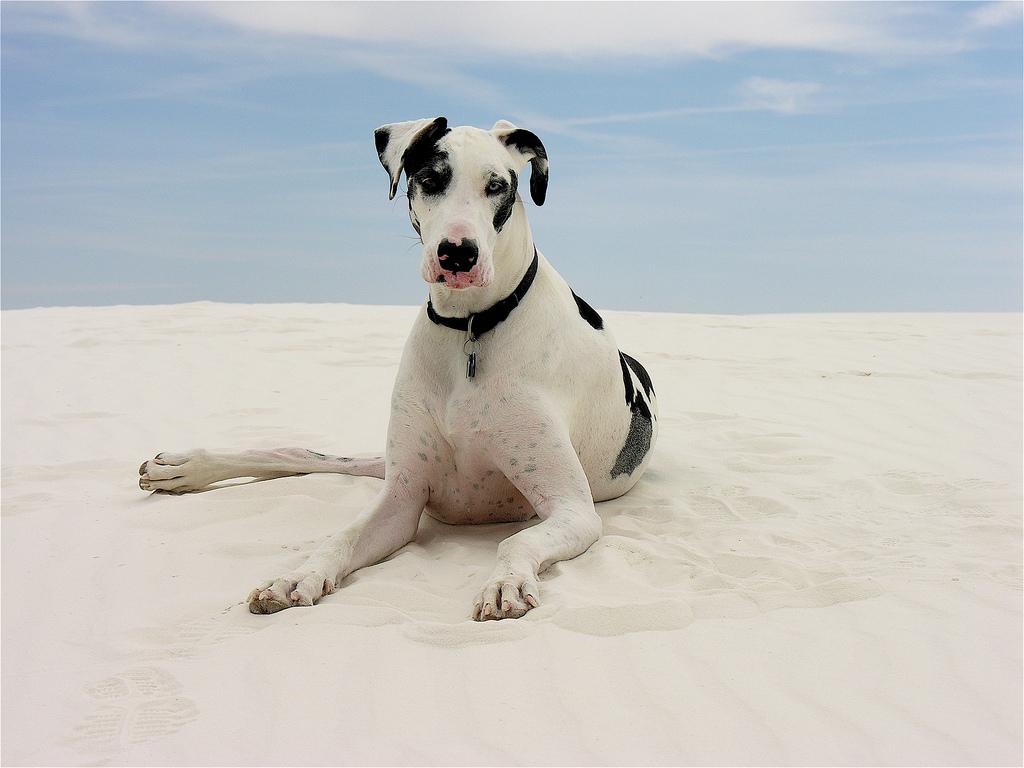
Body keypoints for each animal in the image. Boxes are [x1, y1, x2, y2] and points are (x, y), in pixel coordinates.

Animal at [138, 117, 655, 622]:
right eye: (430, 180)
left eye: (496, 187)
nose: (458, 253)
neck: (470, 328)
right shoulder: (401, 499)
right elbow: (339, 538)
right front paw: (294, 577)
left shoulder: (572, 509)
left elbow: (516, 540)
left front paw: (504, 582)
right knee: (302, 453)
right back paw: (184, 468)